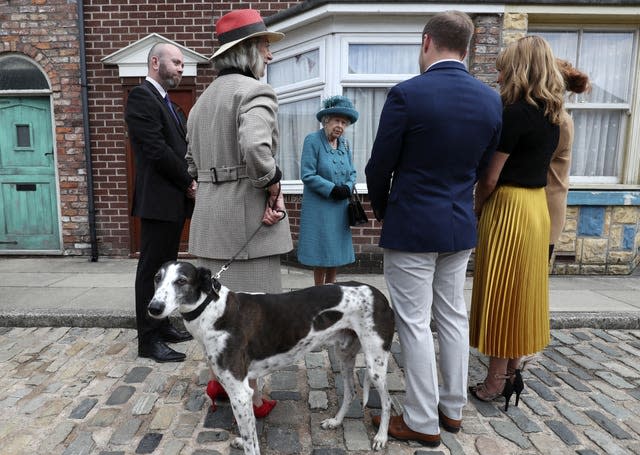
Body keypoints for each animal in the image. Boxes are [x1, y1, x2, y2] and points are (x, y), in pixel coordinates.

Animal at [148, 260, 396, 455]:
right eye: (157, 278)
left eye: (181, 281)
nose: (154, 308)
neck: (213, 310)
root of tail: (379, 294)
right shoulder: (245, 387)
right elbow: (250, 432)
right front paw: (243, 439)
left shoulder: (239, 393)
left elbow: (251, 443)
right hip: (344, 354)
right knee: (352, 391)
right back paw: (335, 422)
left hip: (375, 363)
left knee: (387, 401)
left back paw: (381, 438)